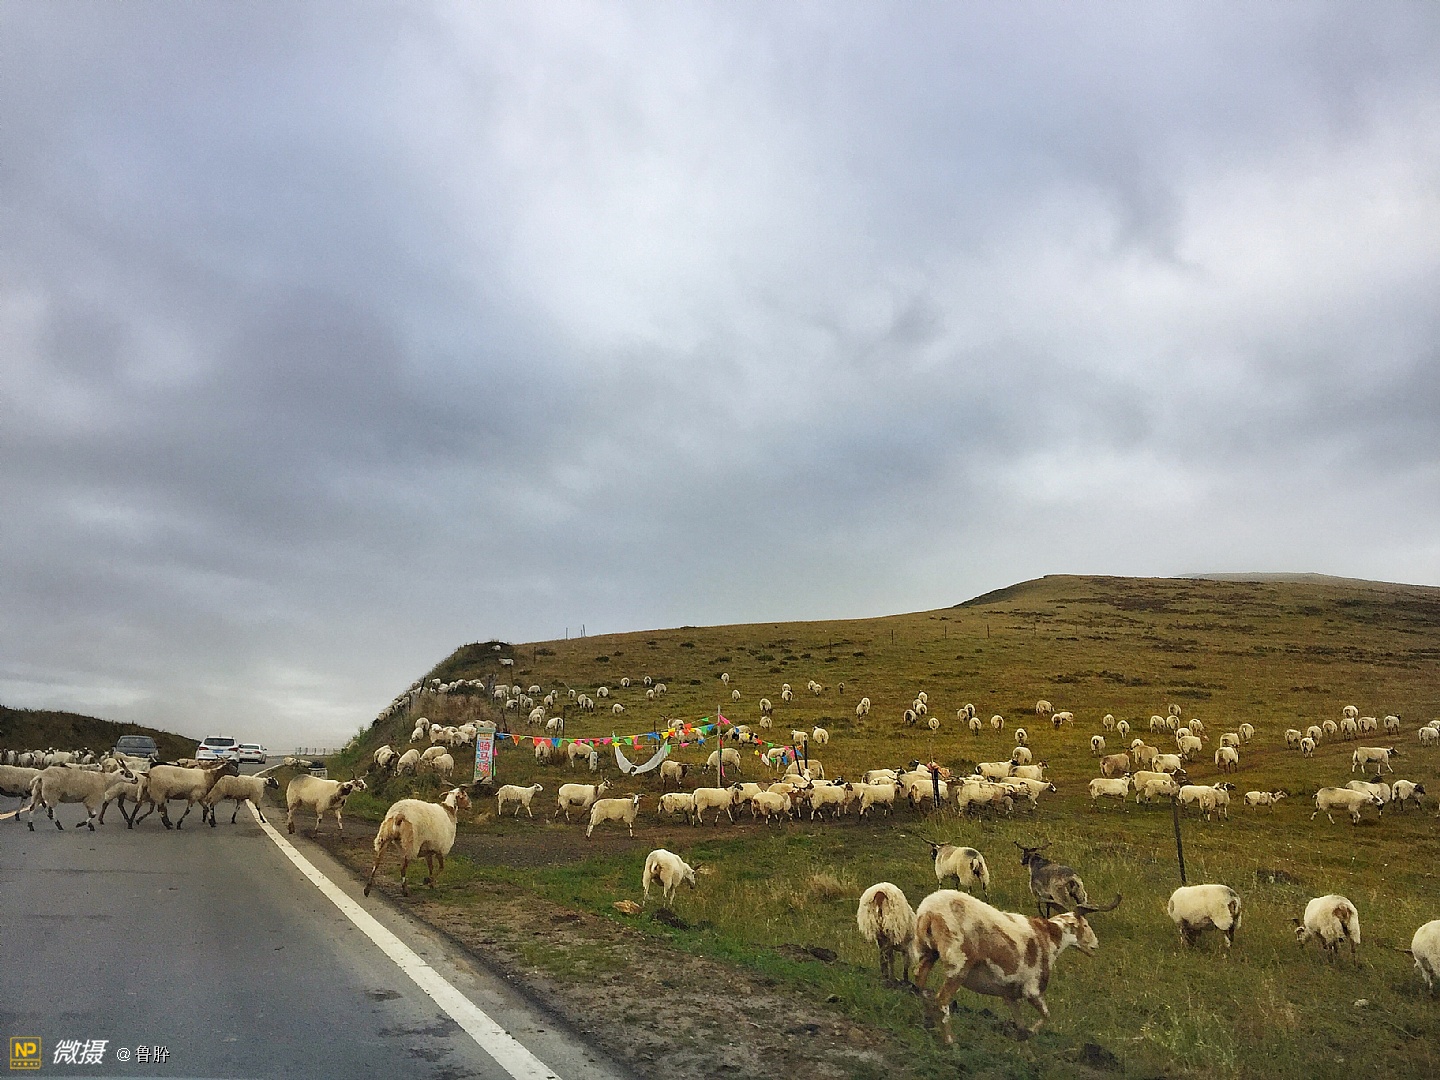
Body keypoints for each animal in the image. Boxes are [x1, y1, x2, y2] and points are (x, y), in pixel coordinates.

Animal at [909, 887, 1120, 1041]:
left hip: (928, 951)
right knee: (942, 1000)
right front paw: (1033, 1034)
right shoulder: (1032, 989)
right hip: (959, 964)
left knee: (919, 980)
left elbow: (1020, 1026)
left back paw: (928, 1023)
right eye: (1085, 925)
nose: (1095, 945)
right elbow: (1046, 1015)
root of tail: (930, 912)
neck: (1049, 937)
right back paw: (951, 1042)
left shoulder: (1009, 994)